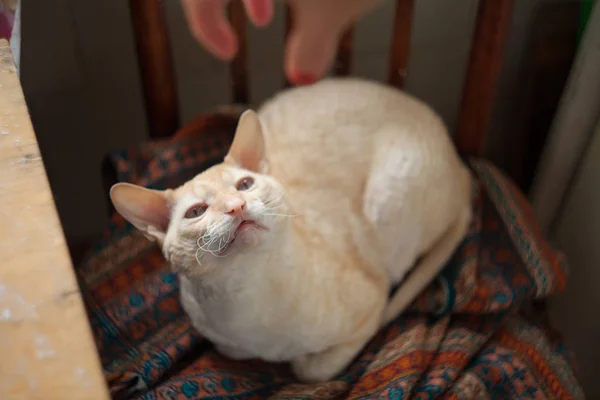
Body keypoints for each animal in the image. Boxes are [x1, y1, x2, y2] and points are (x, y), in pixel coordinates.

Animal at [110, 77, 472, 382]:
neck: (249, 303)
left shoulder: (371, 304)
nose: (236, 206)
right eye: (196, 212)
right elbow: (236, 352)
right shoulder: (225, 343)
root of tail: (462, 165)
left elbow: (311, 370)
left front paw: (300, 362)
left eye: (244, 185)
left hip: (388, 199)